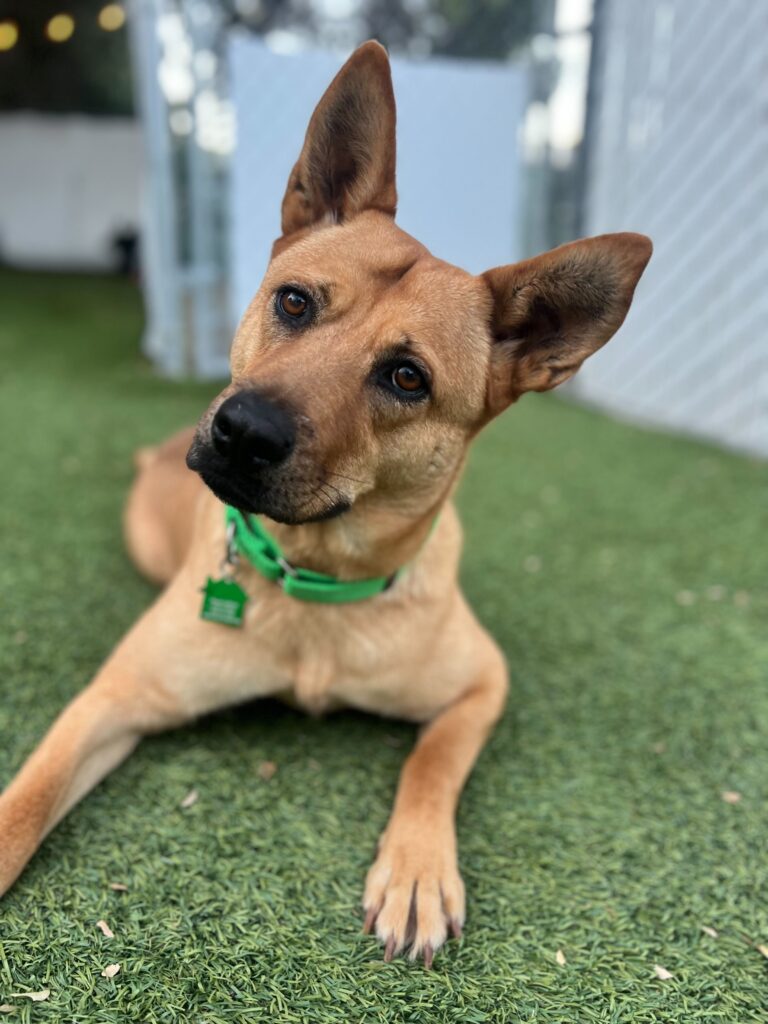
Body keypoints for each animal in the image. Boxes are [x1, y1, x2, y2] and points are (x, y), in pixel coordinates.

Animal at [0, 41, 651, 966]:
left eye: (406, 377)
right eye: (295, 300)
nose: (241, 431)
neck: (317, 581)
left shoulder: (482, 685)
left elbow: (430, 765)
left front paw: (417, 869)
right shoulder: (111, 698)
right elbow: (25, 801)